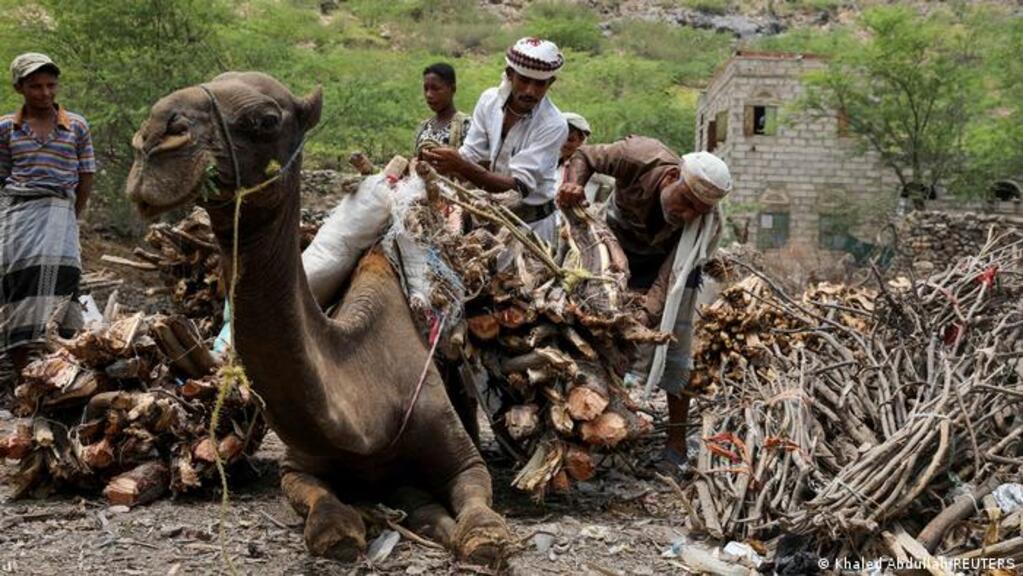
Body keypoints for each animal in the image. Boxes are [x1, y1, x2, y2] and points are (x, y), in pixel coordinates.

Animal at [125, 71, 509, 564]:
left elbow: (480, 520)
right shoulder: (298, 467)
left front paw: (469, 531)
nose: (154, 140)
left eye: (266, 119)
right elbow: (327, 522)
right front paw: (358, 521)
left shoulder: (461, 457)